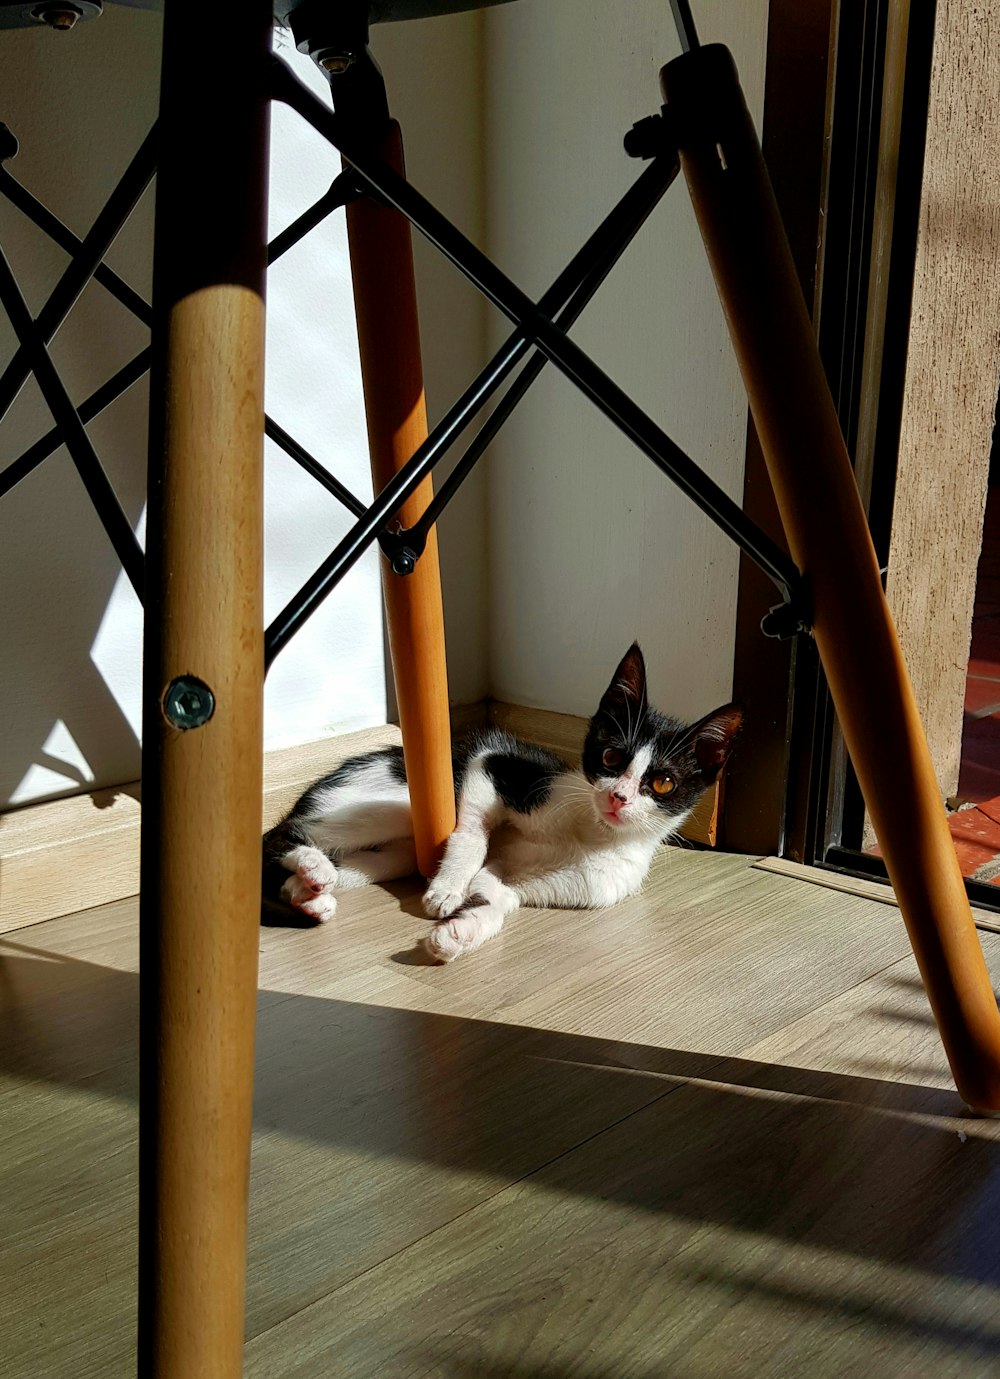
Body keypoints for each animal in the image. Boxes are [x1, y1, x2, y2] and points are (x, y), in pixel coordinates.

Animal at [260, 642, 744, 959]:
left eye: (662, 783)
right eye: (610, 757)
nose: (619, 798)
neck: (591, 834)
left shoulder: (545, 883)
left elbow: (496, 899)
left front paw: (461, 934)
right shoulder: (495, 765)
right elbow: (473, 833)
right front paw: (448, 888)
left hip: (394, 854)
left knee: (341, 864)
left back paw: (308, 892)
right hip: (392, 804)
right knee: (279, 835)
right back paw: (311, 866)